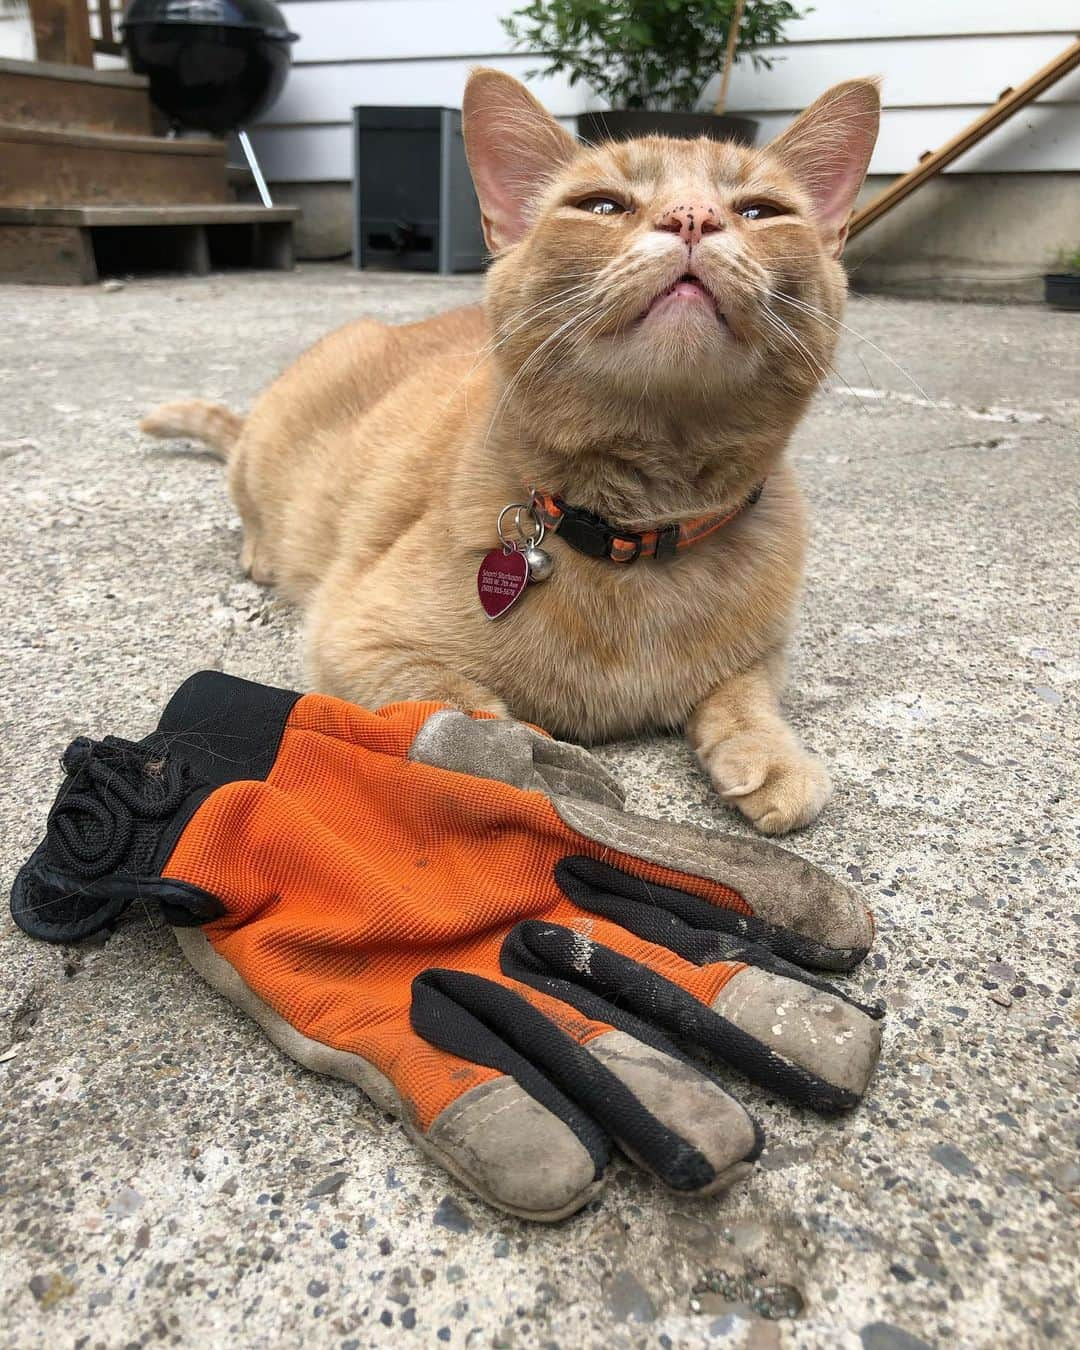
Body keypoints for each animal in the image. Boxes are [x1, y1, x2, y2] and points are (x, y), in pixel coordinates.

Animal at [143, 73, 880, 837]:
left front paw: (768, 752)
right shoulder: (357, 637)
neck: (640, 529)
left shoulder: (764, 652)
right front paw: (528, 756)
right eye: (602, 205)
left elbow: (745, 692)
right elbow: (466, 713)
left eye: (761, 211)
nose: (693, 217)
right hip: (273, 449)